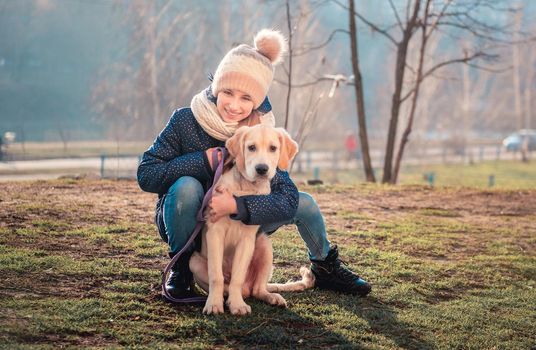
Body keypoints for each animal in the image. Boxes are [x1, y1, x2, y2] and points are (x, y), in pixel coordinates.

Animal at [188, 124, 314, 316]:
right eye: (251, 147)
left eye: (273, 148)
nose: (261, 169)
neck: (245, 188)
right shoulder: (215, 232)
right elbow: (216, 276)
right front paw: (214, 304)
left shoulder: (247, 239)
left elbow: (237, 277)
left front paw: (237, 304)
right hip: (194, 261)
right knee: (230, 285)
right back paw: (224, 297)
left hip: (264, 245)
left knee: (256, 289)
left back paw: (270, 297)